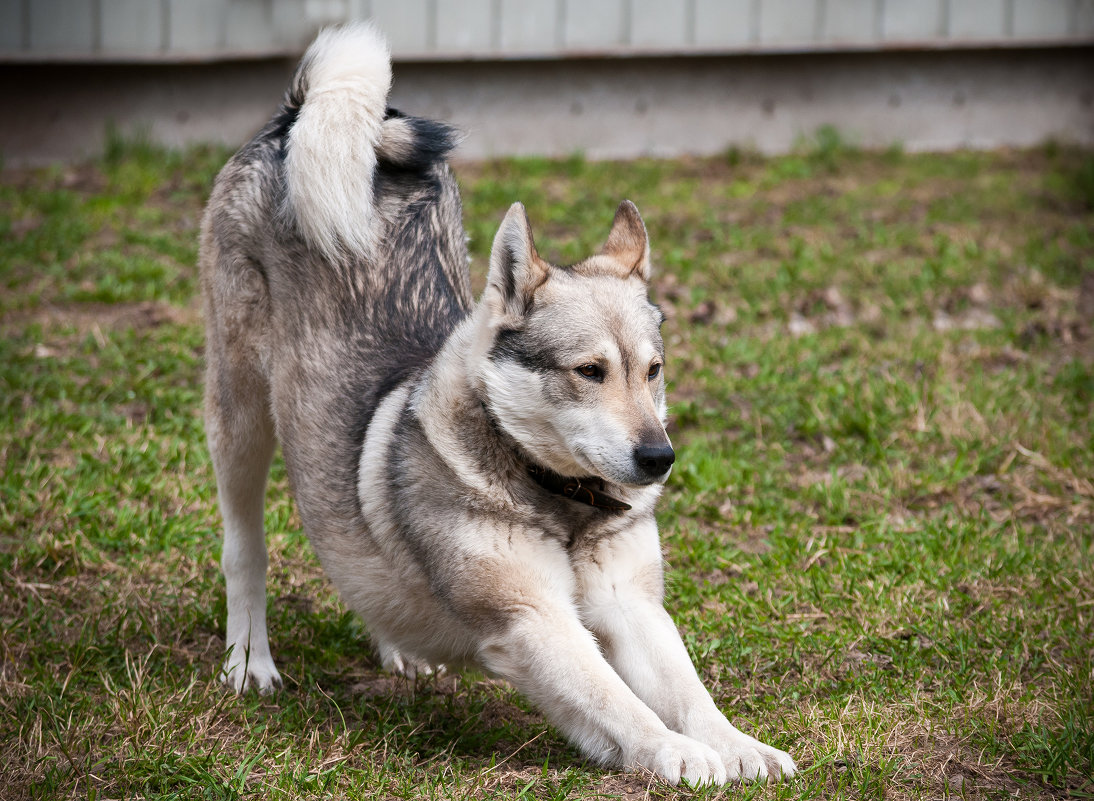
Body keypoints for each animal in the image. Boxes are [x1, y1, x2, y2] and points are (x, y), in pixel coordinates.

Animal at [199, 23, 796, 783]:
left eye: (653, 370)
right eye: (589, 371)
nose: (659, 458)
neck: (563, 502)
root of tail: (299, 114)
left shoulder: (632, 607)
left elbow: (690, 694)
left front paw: (739, 744)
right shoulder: (532, 620)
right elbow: (623, 704)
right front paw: (680, 754)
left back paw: (398, 644)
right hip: (241, 423)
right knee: (244, 550)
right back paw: (249, 660)